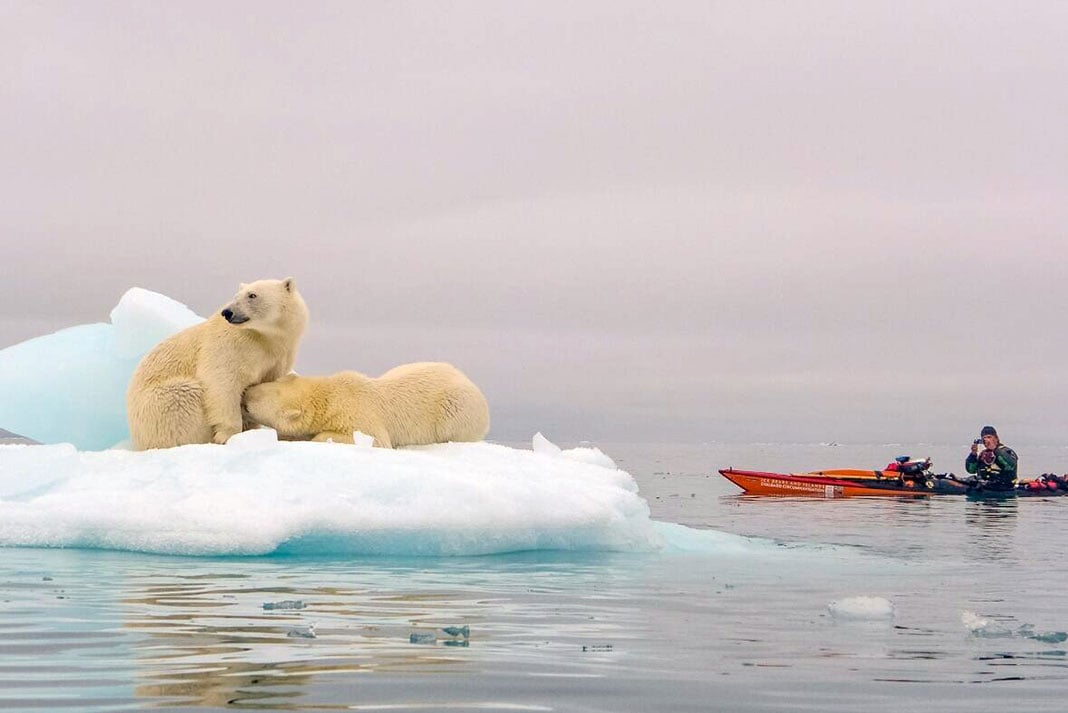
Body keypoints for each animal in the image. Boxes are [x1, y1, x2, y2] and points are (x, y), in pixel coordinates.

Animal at [126, 277, 309, 450]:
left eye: (252, 295)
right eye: (235, 296)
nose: (227, 312)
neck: (265, 339)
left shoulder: (278, 356)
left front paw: (252, 430)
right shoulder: (230, 345)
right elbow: (223, 382)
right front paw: (228, 436)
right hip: (158, 406)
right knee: (184, 395)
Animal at [244, 362, 489, 446]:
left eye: (252, 401)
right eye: (256, 388)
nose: (244, 394)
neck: (333, 394)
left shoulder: (359, 416)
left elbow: (376, 440)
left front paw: (318, 438)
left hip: (458, 408)